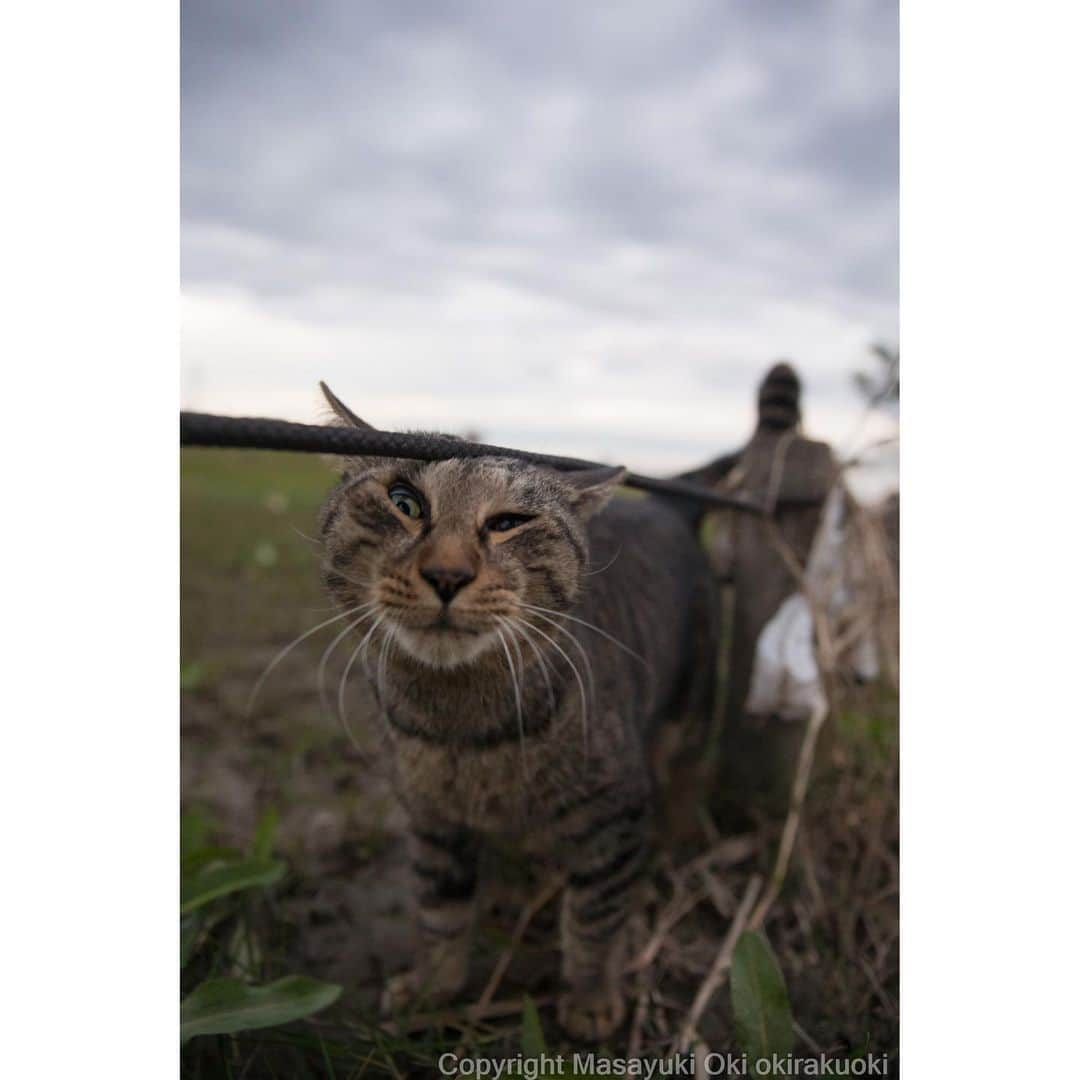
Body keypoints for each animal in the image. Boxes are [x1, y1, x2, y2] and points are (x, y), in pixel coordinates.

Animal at [315, 384, 717, 1041]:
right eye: (405, 502)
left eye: (508, 523)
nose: (447, 574)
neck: (461, 727)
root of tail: (664, 505)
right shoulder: (431, 818)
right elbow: (441, 911)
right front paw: (432, 988)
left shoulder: (616, 808)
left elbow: (595, 913)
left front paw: (590, 996)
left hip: (690, 708)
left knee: (682, 780)